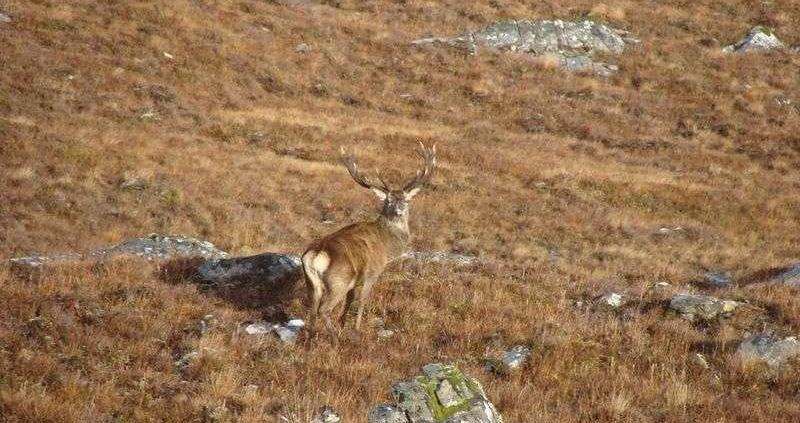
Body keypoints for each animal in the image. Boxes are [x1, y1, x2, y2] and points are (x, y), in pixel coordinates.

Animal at [302, 143, 438, 334]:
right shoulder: (373, 272)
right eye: (388, 201)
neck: (387, 246)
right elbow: (362, 301)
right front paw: (356, 328)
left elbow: (349, 301)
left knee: (312, 311)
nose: (400, 208)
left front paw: (343, 324)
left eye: (406, 200)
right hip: (338, 281)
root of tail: (314, 255)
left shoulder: (354, 283)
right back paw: (336, 336)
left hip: (311, 284)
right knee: (324, 309)